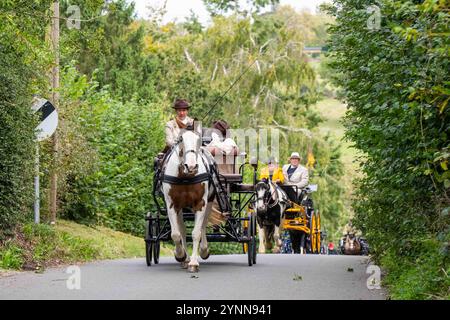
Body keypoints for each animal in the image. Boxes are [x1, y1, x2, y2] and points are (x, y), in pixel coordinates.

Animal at [161, 124, 214, 272]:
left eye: (199, 140)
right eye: (180, 140)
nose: (191, 166)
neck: (185, 176)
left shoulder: (201, 203)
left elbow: (196, 232)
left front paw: (194, 263)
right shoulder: (171, 204)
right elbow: (176, 234)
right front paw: (181, 255)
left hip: (209, 202)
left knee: (202, 226)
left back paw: (203, 250)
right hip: (180, 208)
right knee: (183, 230)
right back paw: (185, 259)